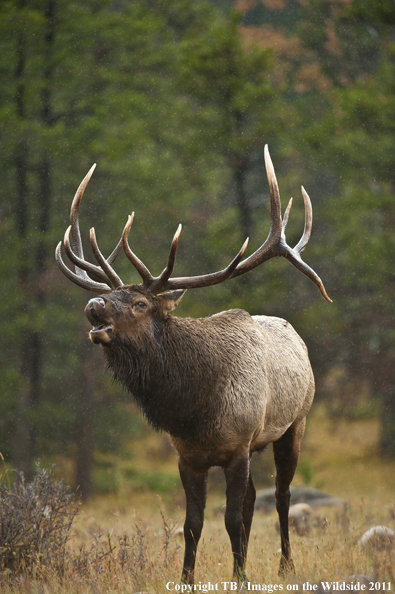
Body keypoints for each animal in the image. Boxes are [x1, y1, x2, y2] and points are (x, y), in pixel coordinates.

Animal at [55, 147, 332, 584]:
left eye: (140, 303)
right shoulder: (188, 457)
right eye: (112, 295)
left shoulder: (237, 447)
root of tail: (297, 337)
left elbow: (231, 519)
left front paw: (241, 579)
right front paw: (190, 577)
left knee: (282, 495)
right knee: (254, 500)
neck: (194, 408)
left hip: (295, 423)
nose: (93, 304)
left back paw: (285, 565)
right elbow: (193, 524)